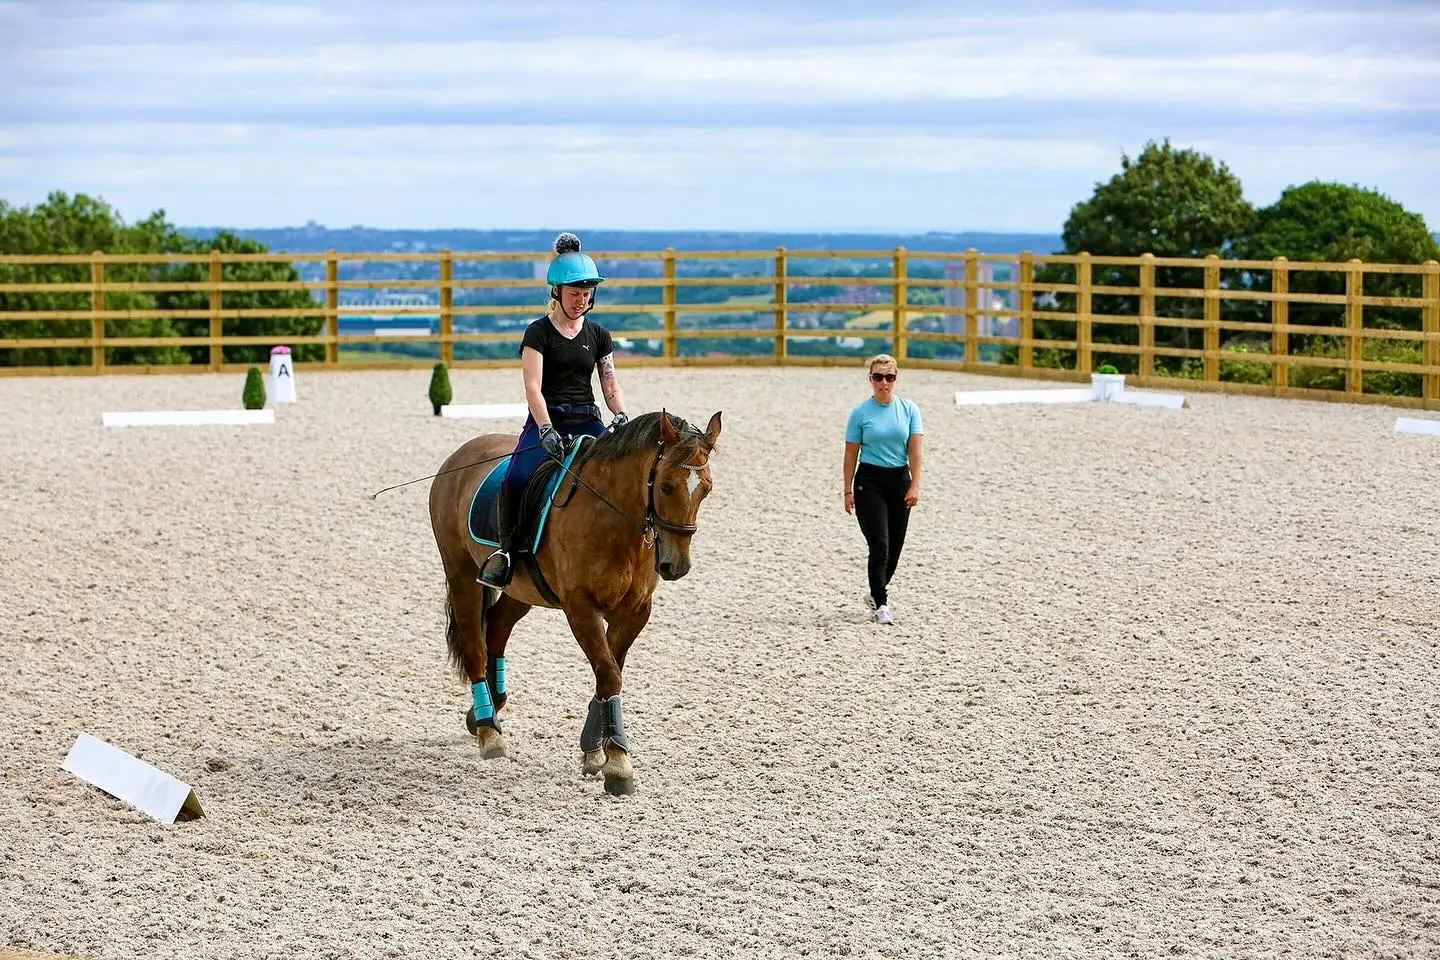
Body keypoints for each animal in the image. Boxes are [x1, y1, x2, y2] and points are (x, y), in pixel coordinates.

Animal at [427, 409, 722, 795]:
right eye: (666, 486)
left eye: (706, 489)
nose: (676, 566)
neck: (614, 520)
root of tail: (459, 455)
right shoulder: (581, 607)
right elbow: (609, 674)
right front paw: (618, 765)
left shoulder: (635, 612)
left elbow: (609, 672)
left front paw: (596, 751)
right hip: (462, 575)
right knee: (476, 645)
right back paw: (489, 731)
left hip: (523, 589)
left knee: (497, 629)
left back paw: (483, 713)